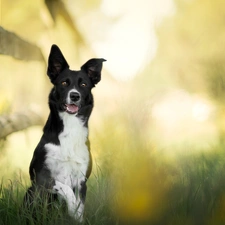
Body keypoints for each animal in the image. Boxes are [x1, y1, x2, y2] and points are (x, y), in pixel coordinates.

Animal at [24, 44, 105, 222]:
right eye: (64, 82)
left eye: (83, 85)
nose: (74, 96)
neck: (70, 127)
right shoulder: (42, 178)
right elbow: (66, 190)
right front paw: (72, 208)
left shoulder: (82, 180)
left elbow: (79, 205)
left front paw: (76, 216)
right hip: (30, 192)